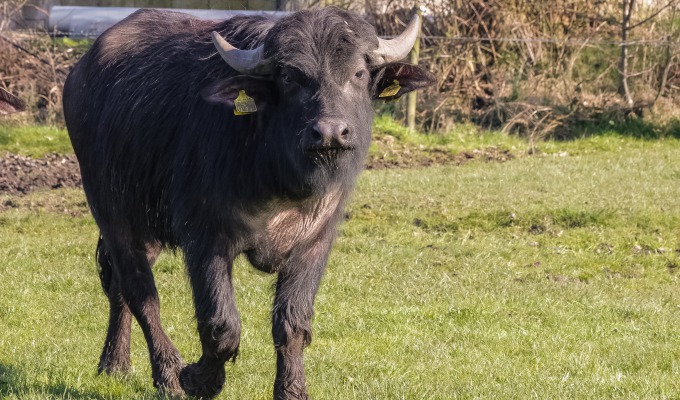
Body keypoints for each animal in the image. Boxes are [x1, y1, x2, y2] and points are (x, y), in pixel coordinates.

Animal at [65, 7, 436, 400]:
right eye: (290, 77)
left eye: (358, 73)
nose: (330, 132)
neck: (278, 175)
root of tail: (81, 71)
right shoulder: (205, 239)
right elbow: (222, 324)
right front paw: (198, 379)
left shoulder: (315, 241)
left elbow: (292, 323)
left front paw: (292, 390)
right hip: (113, 215)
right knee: (140, 294)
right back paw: (167, 375)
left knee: (119, 289)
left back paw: (115, 364)